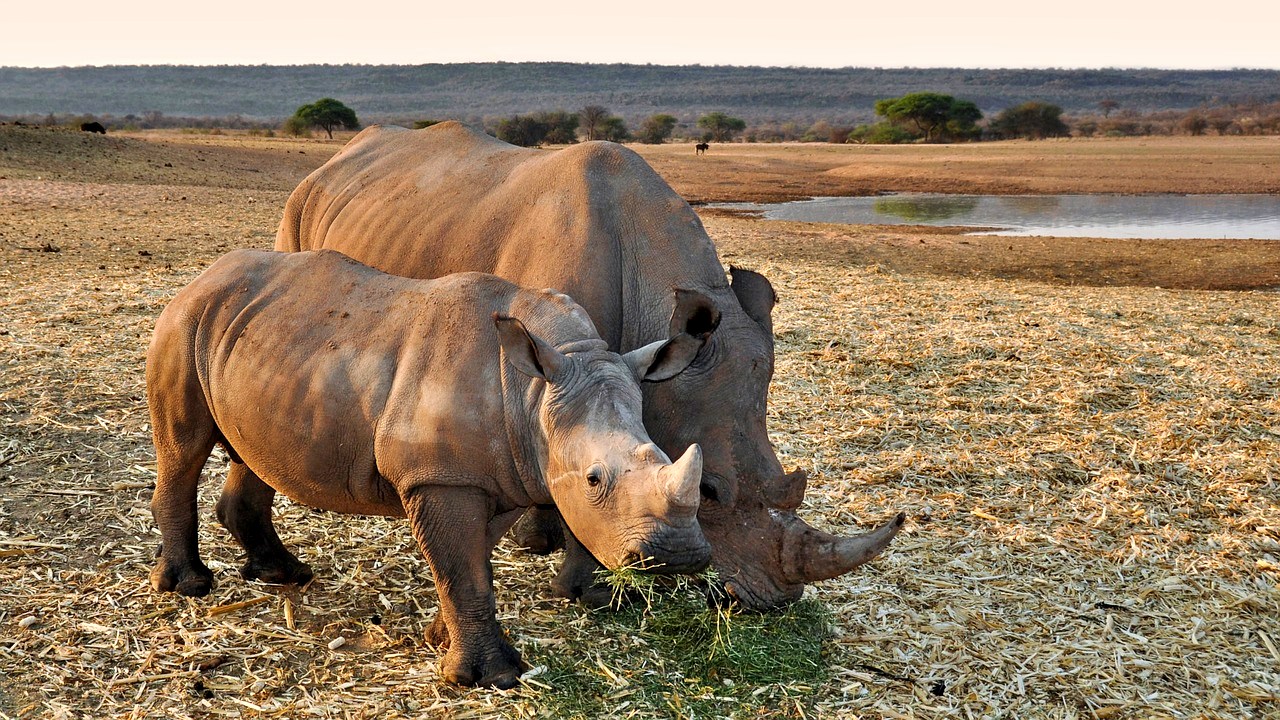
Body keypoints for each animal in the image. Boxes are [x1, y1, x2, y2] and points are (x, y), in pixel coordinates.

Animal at [149, 249, 716, 686]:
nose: (678, 557)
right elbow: (462, 568)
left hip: (259, 343)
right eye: (595, 480)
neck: (535, 394)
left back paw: (283, 575)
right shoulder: (441, 477)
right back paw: (189, 587)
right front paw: (492, 677)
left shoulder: (496, 472)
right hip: (184, 323)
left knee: (253, 452)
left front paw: (440, 638)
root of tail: (203, 276)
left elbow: (471, 559)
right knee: (184, 448)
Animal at [275, 120, 906, 607]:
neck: (656, 301)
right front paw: (573, 578)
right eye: (709, 493)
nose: (775, 600)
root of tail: (339, 156)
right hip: (298, 206)